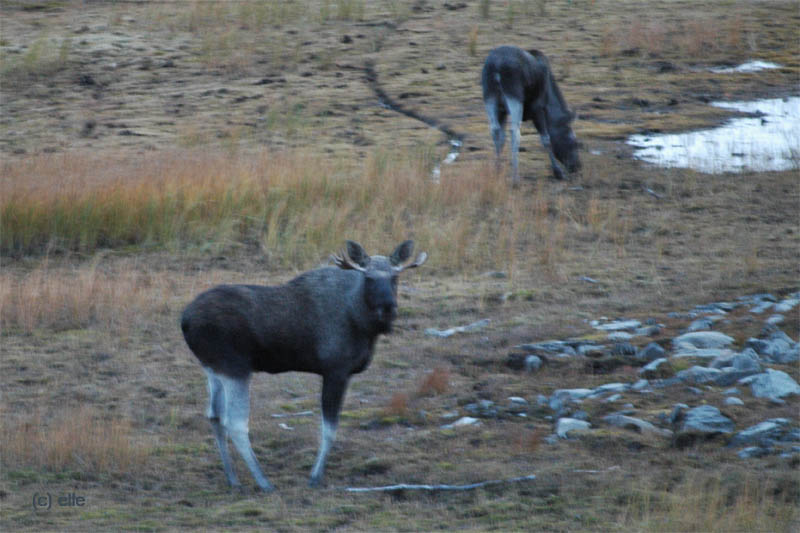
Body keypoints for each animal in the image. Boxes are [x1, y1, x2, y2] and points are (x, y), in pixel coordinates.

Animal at [181, 241, 428, 490]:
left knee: (214, 416)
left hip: (213, 368)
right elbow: (329, 430)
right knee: (235, 423)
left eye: (395, 277)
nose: (388, 307)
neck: (362, 323)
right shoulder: (336, 370)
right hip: (235, 367)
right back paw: (263, 481)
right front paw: (315, 476)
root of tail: (184, 320)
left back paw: (233, 478)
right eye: (368, 278)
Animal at [482, 46, 580, 187]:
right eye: (574, 142)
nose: (577, 166)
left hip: (489, 96)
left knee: (494, 130)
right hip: (514, 96)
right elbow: (546, 139)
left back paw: (498, 171)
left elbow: (501, 137)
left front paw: (498, 170)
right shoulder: (537, 108)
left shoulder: (503, 111)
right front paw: (558, 172)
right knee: (515, 132)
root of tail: (496, 67)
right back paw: (515, 179)